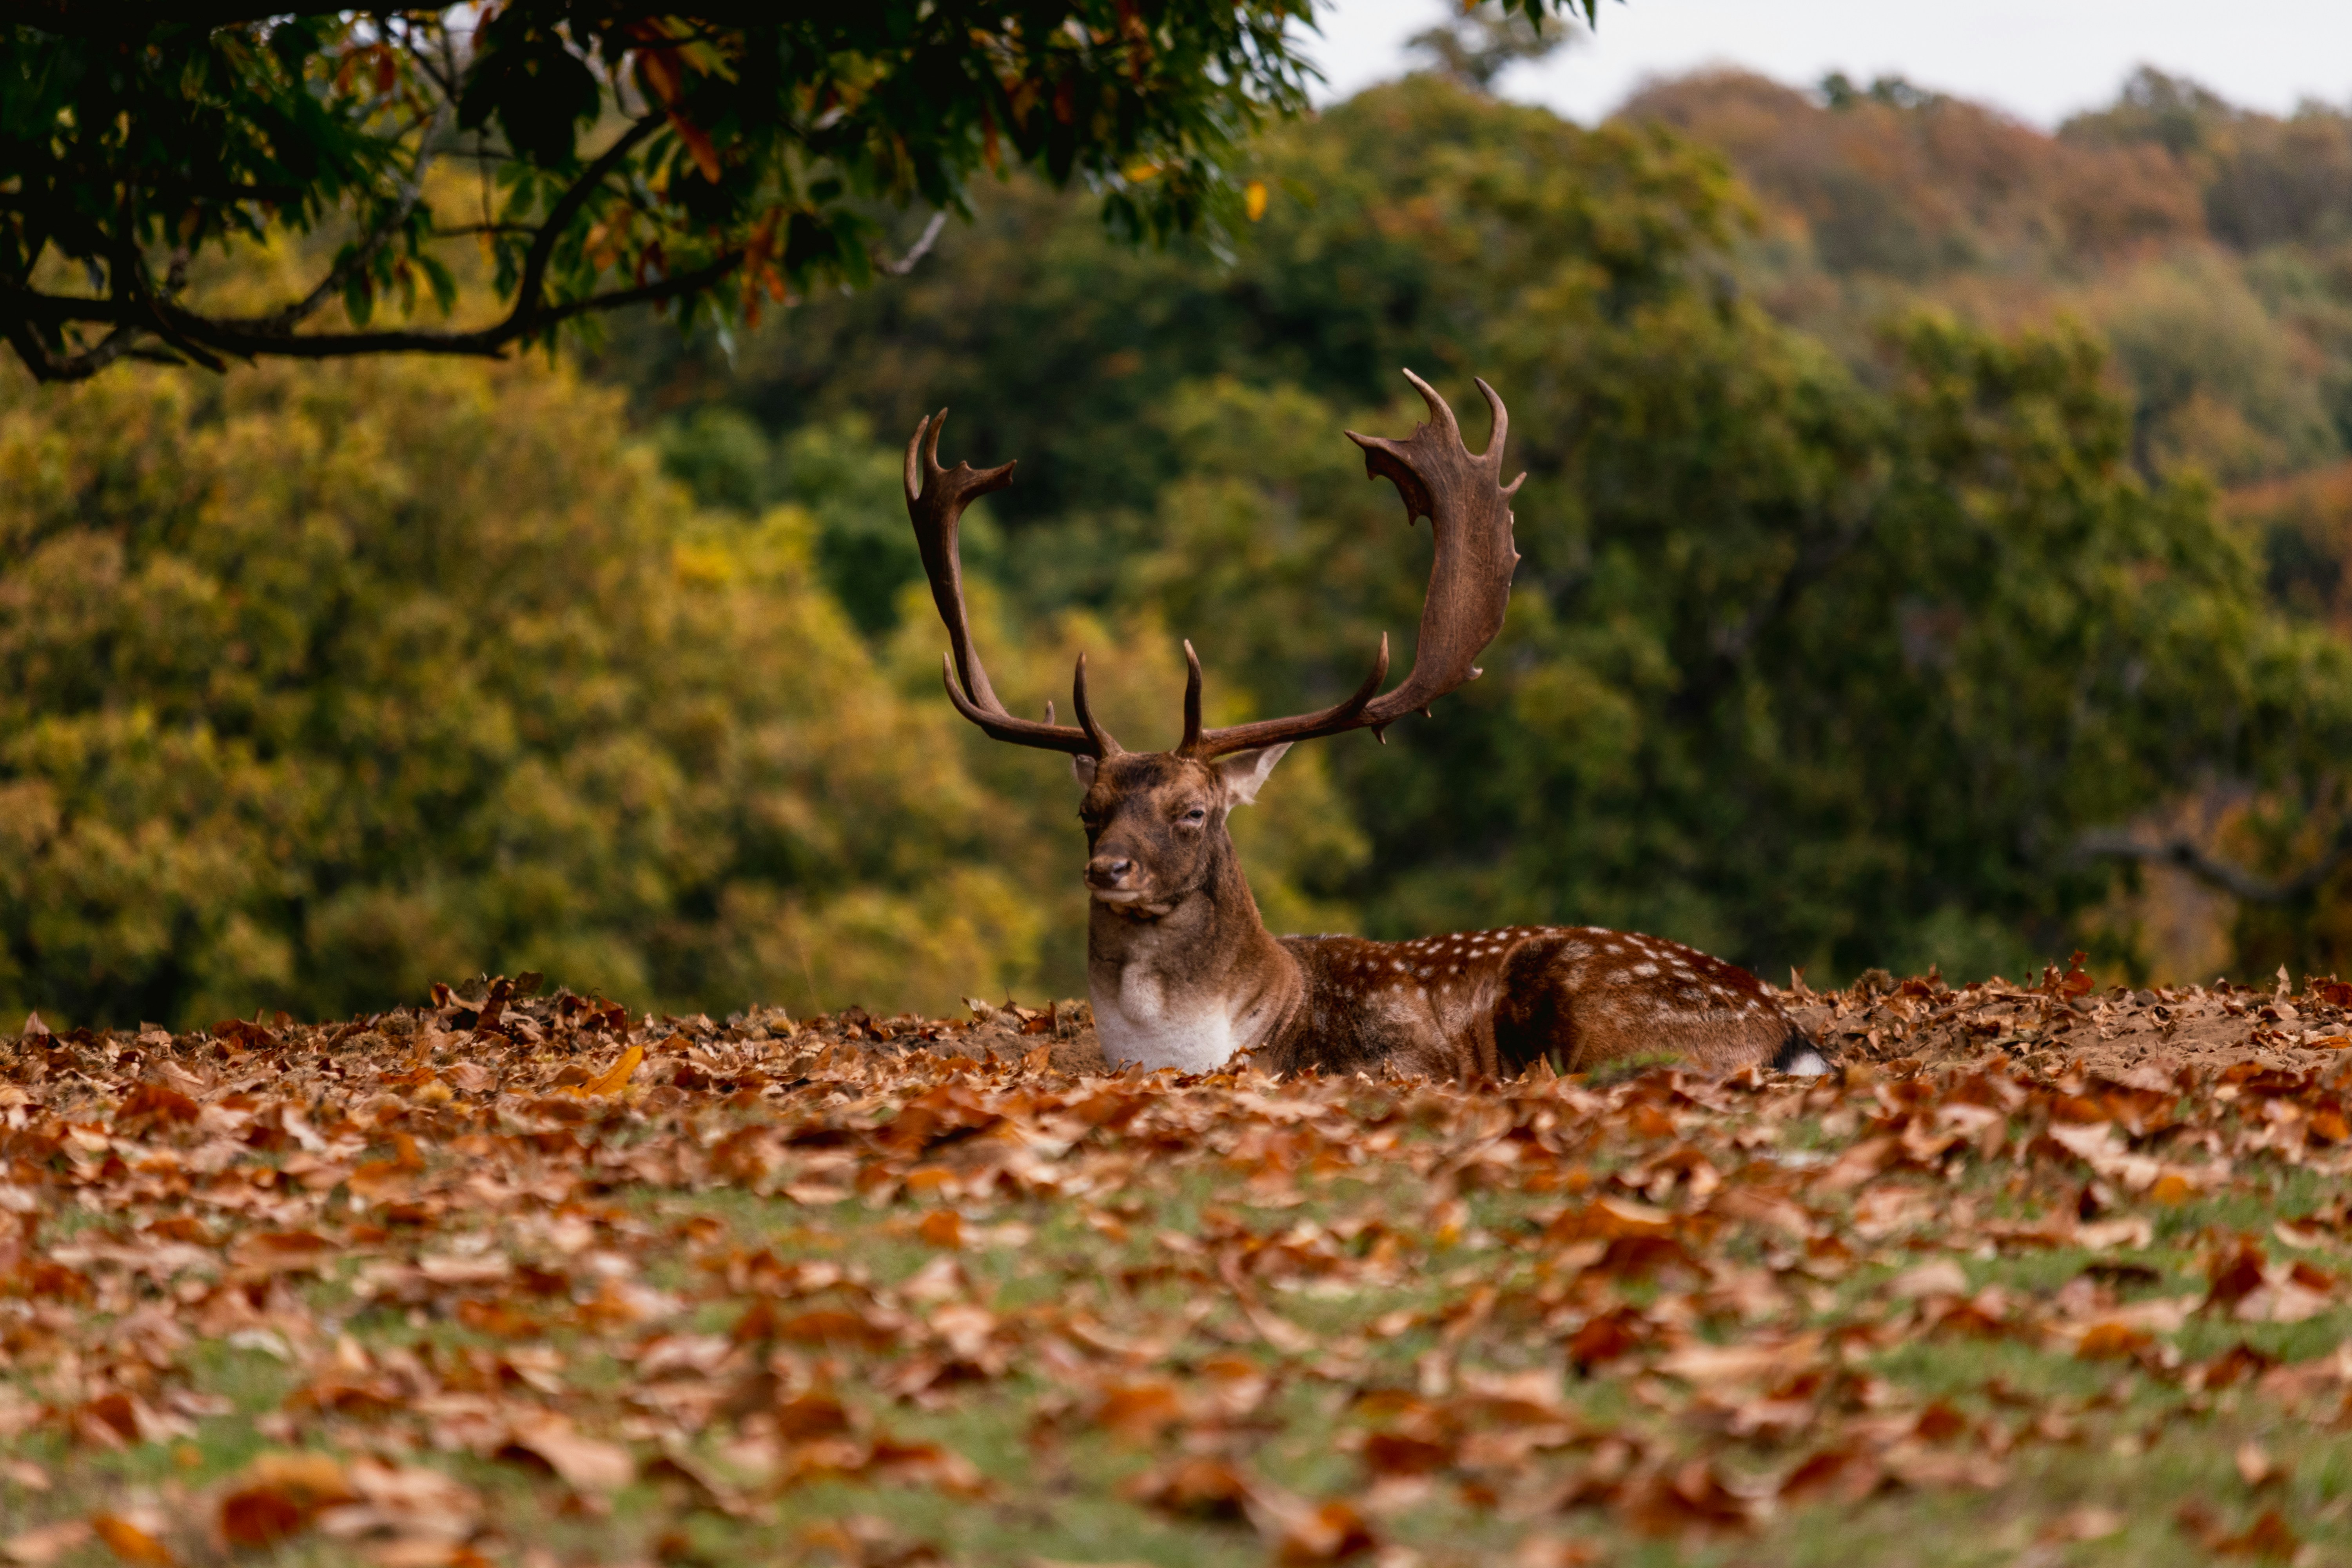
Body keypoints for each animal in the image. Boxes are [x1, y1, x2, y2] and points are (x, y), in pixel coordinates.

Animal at [903, 371, 1830, 1081]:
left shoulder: (1397, 1058)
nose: (1110, 868)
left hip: (1598, 1004)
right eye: (1088, 809)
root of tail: (1787, 1030)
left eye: (1194, 811)